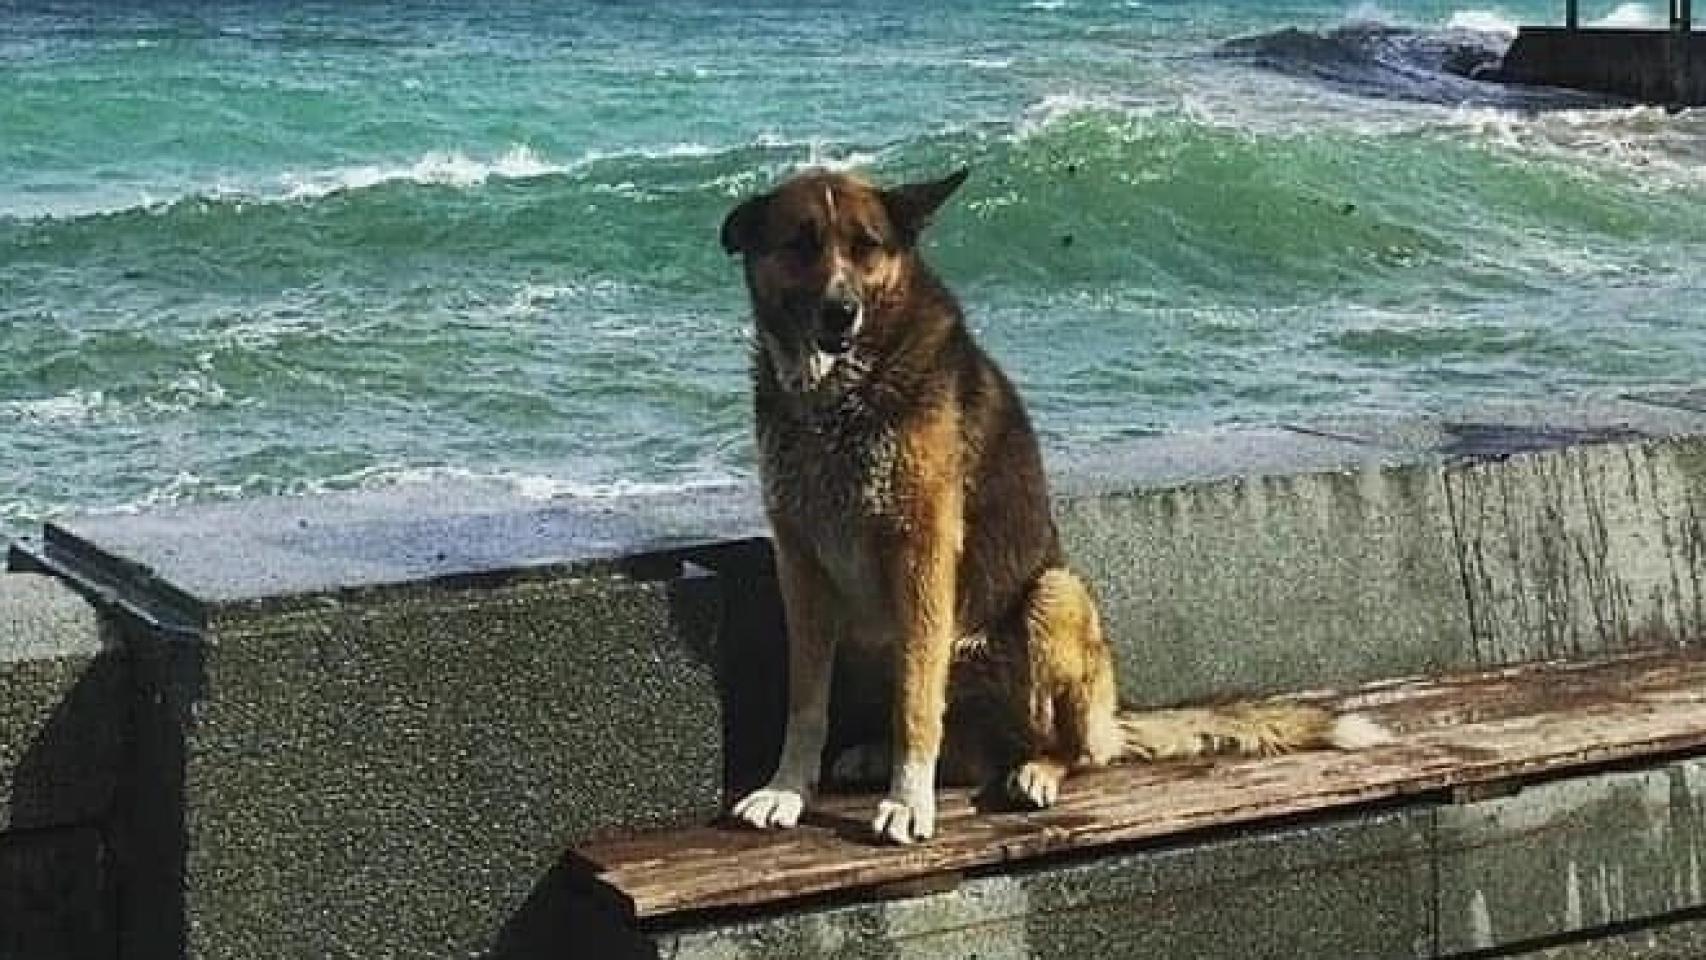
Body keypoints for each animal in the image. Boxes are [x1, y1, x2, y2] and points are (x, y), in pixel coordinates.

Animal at [720, 168, 1388, 845]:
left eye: (866, 246)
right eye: (801, 243)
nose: (841, 310)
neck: (837, 398)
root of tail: (1110, 723)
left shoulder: (923, 549)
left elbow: (917, 703)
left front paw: (909, 801)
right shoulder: (800, 564)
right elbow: (806, 704)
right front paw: (787, 789)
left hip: (1056, 595)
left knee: (1067, 748)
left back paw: (1035, 769)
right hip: (875, 641)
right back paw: (883, 756)